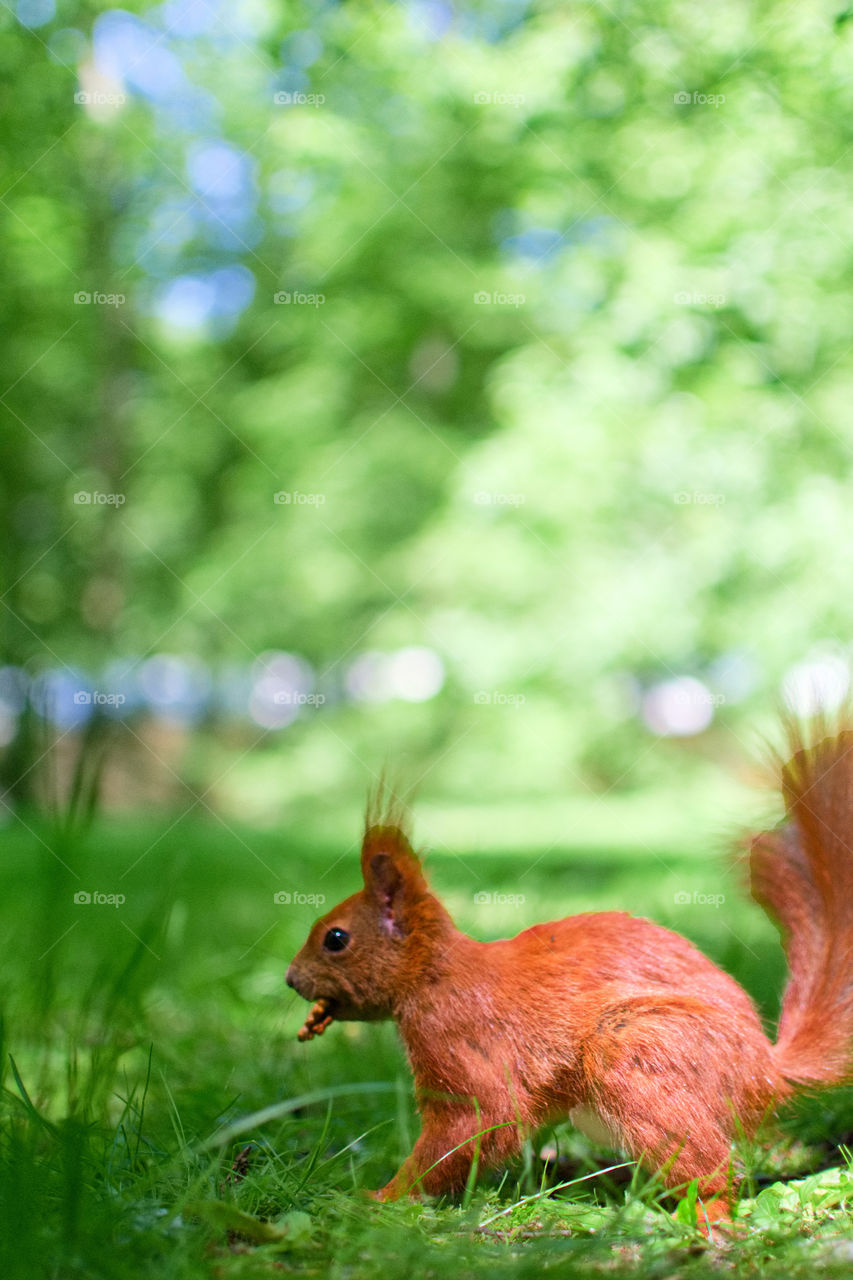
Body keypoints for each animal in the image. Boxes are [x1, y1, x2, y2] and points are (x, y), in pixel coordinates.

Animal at [286, 728, 853, 1231]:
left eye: (335, 938)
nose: (292, 980)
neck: (436, 975)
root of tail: (765, 1075)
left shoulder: (458, 1041)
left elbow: (478, 1122)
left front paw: (381, 1198)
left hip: (637, 1049)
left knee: (714, 1172)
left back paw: (702, 1214)